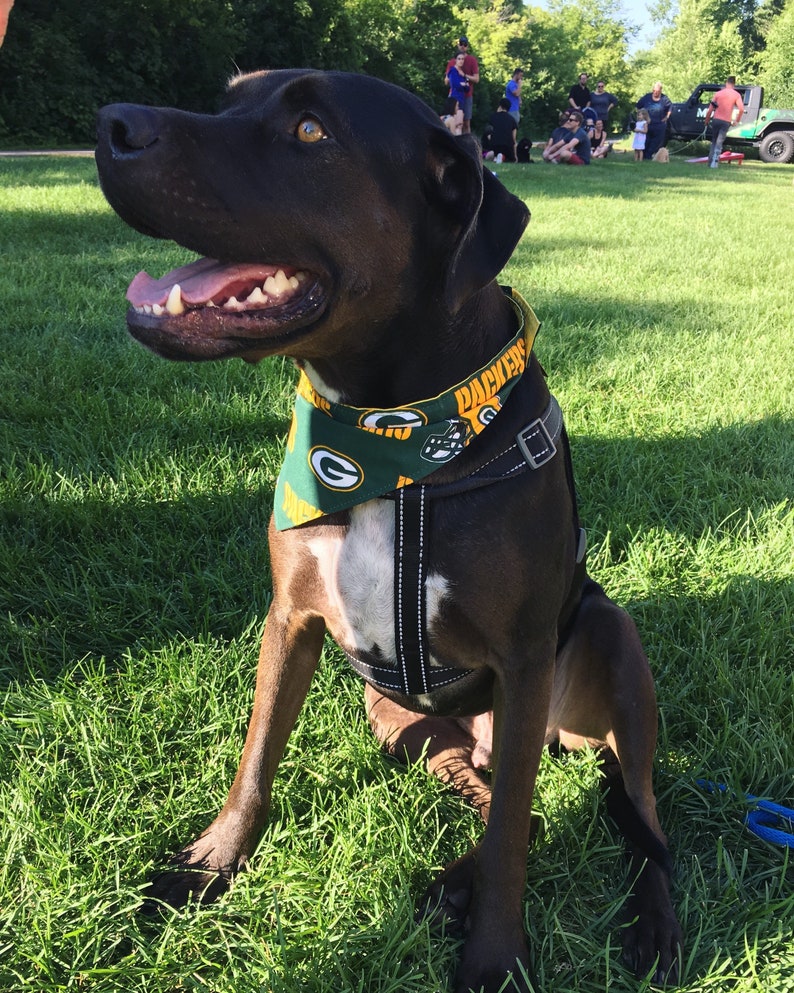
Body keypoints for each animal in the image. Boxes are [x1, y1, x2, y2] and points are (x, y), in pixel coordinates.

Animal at [94, 70, 680, 992]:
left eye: (310, 130)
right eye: (230, 94)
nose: (111, 123)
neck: (392, 437)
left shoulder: (522, 655)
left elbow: (512, 846)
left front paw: (493, 959)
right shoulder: (290, 620)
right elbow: (255, 761)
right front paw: (212, 862)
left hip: (609, 648)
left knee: (632, 816)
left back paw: (650, 925)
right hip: (402, 721)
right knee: (503, 800)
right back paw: (448, 882)